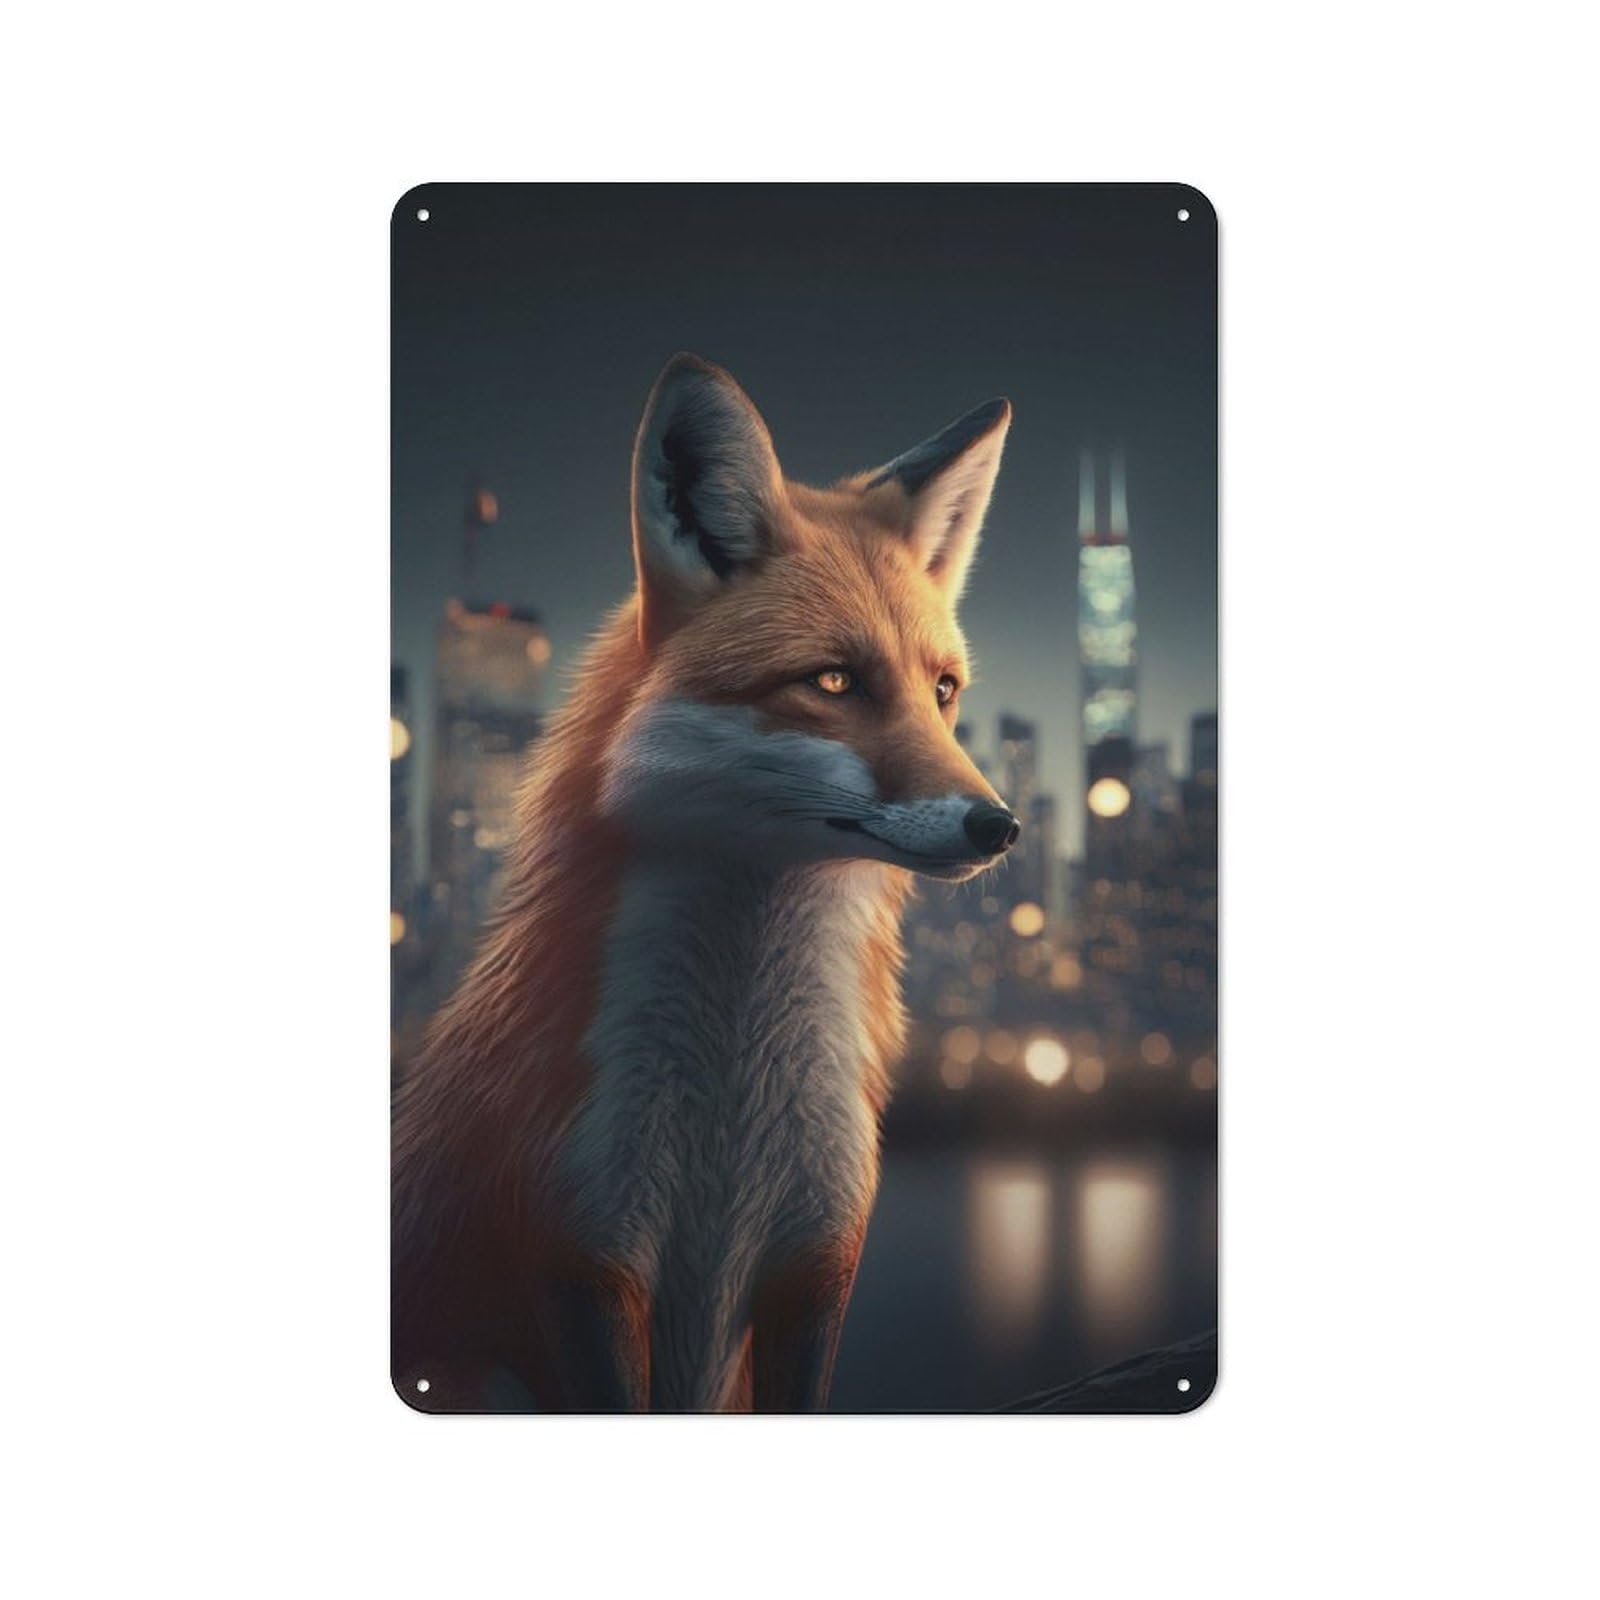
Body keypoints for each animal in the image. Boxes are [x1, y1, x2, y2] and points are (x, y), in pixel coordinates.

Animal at [393, 353, 1018, 1412]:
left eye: (943, 692)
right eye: (835, 682)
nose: (1001, 827)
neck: (732, 1125)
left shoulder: (818, 1263)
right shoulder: (585, 1265)